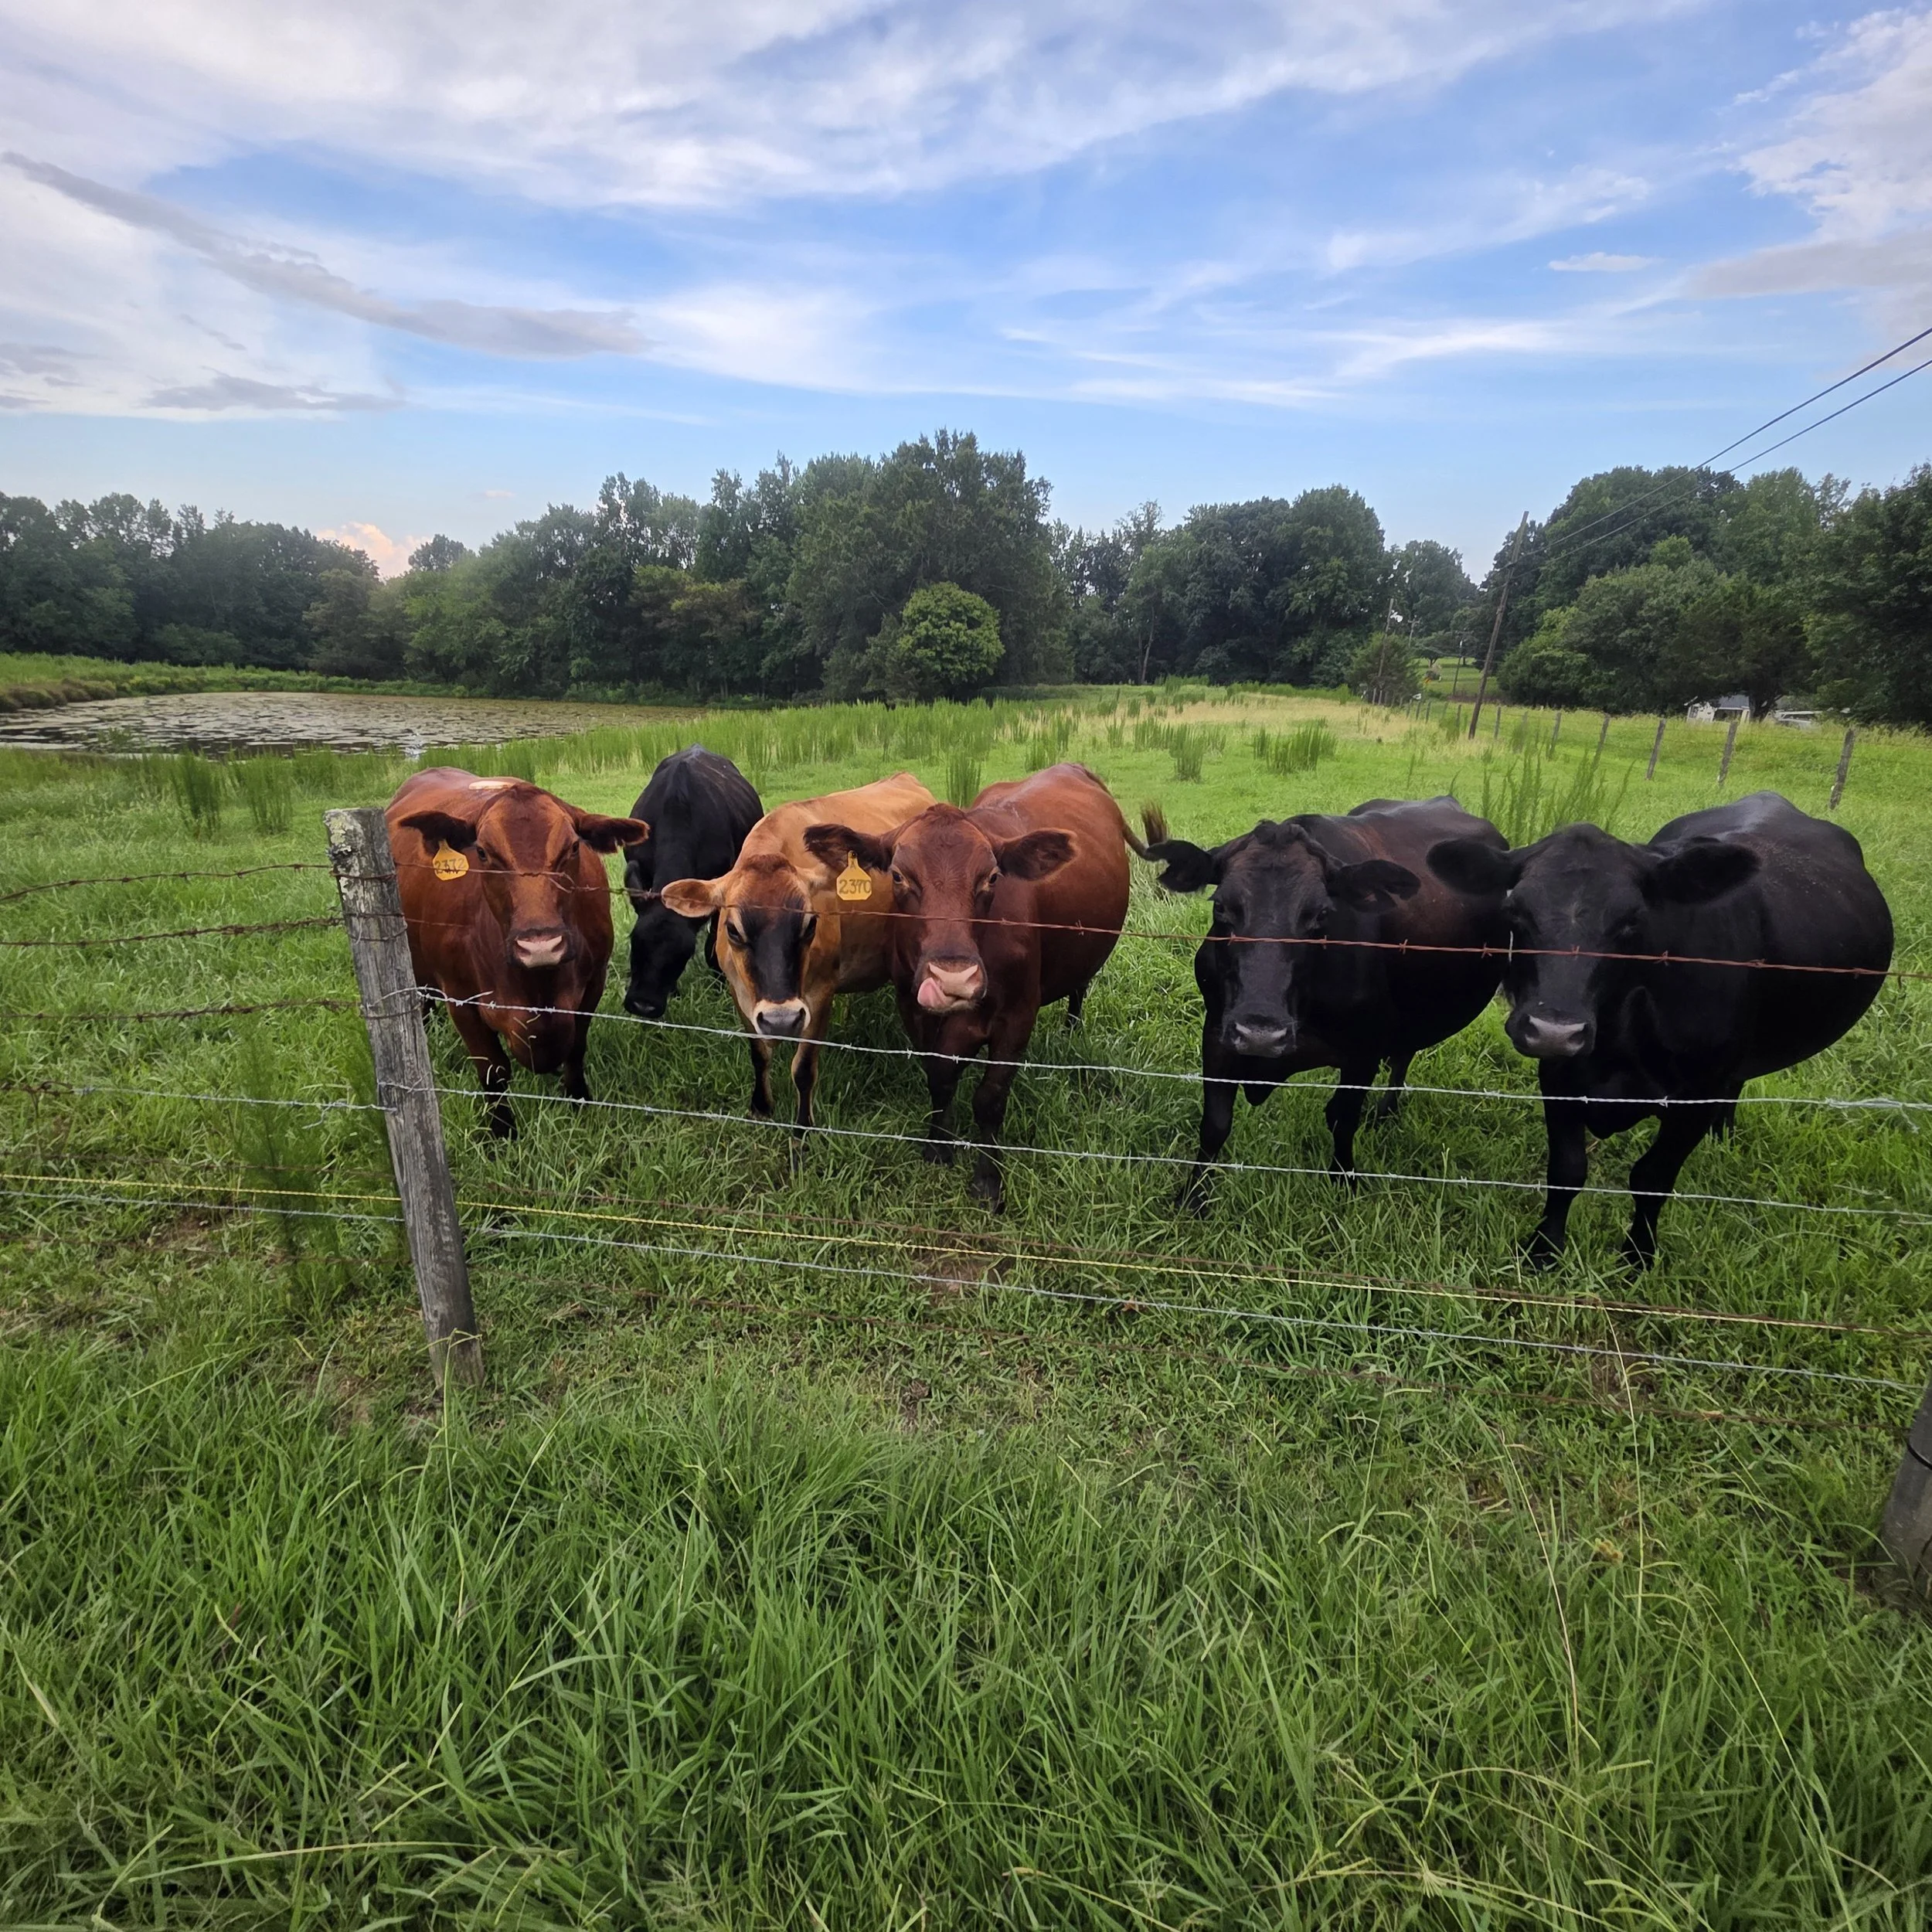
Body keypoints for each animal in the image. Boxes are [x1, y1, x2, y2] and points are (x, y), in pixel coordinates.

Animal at [386, 768, 649, 1137]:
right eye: (483, 852)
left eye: (573, 848)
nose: (540, 946)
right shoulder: (461, 1000)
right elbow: (493, 1070)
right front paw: (501, 1131)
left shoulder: (592, 985)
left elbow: (576, 1049)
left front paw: (579, 1101)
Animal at [658, 772, 936, 1131]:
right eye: (732, 929)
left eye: (810, 925)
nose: (782, 1019)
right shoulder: (741, 993)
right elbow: (759, 1054)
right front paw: (761, 1108)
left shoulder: (819, 995)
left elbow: (803, 1070)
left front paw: (802, 1129)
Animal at [800, 763, 1143, 1210]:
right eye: (898, 876)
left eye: (992, 877)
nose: (953, 979)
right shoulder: (912, 1008)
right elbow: (940, 1078)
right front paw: (937, 1148)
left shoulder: (1017, 1017)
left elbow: (990, 1099)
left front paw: (988, 1179)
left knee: (1079, 989)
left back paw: (1072, 1029)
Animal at [1139, 795, 1509, 1213]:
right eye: (1221, 908)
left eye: (1321, 914)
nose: (1261, 1034)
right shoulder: (1217, 1033)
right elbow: (1215, 1124)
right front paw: (1191, 1198)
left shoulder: (1364, 1051)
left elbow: (1342, 1118)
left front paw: (1345, 1183)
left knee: (1402, 1058)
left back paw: (1386, 1112)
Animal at [1426, 790, 1894, 1269]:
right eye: (1514, 912)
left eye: (1633, 920)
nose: (1555, 1030)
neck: (1622, 1038)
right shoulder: (1559, 1076)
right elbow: (1566, 1170)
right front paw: (1544, 1252)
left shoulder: (1697, 1095)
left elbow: (1652, 1177)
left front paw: (1637, 1259)